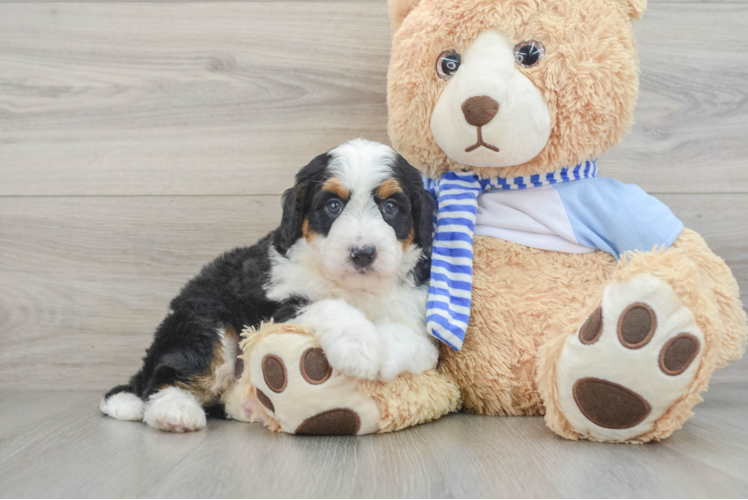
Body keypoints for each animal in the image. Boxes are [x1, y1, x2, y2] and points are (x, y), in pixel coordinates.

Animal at [100, 141, 438, 434]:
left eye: (391, 206)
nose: (363, 253)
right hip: (205, 324)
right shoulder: (276, 303)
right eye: (333, 206)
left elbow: (410, 338)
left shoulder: (414, 311)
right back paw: (172, 412)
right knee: (166, 376)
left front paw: (383, 356)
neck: (355, 287)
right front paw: (359, 348)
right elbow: (329, 305)